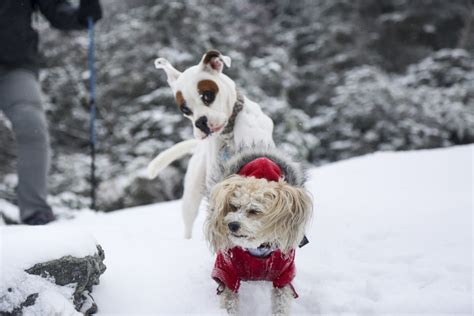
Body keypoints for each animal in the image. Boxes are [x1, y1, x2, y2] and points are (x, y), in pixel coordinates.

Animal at [204, 149, 312, 316]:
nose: (232, 225)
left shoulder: (284, 274)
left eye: (254, 211)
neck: (257, 249)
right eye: (234, 206)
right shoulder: (226, 271)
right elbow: (229, 300)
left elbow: (281, 302)